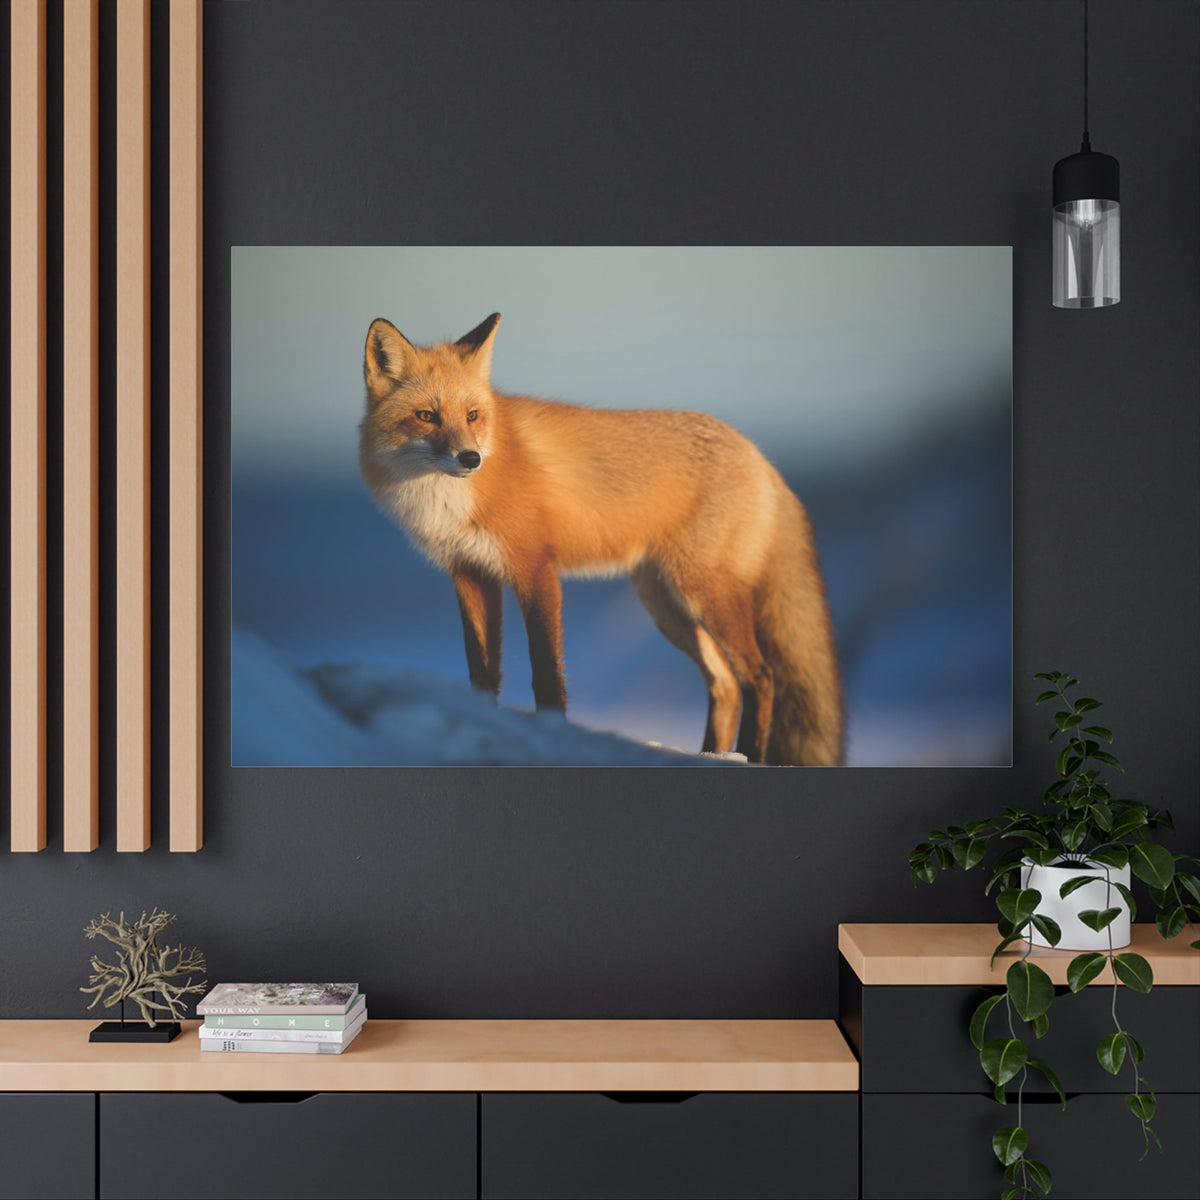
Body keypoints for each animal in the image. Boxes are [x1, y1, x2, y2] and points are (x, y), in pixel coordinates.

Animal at [358, 313, 844, 766]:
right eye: (427, 416)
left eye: (473, 416)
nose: (470, 458)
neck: (449, 500)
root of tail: (760, 456)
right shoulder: (470, 574)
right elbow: (482, 672)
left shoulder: (535, 568)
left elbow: (546, 672)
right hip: (665, 605)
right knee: (724, 683)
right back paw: (711, 754)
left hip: (704, 593)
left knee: (760, 677)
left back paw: (748, 755)